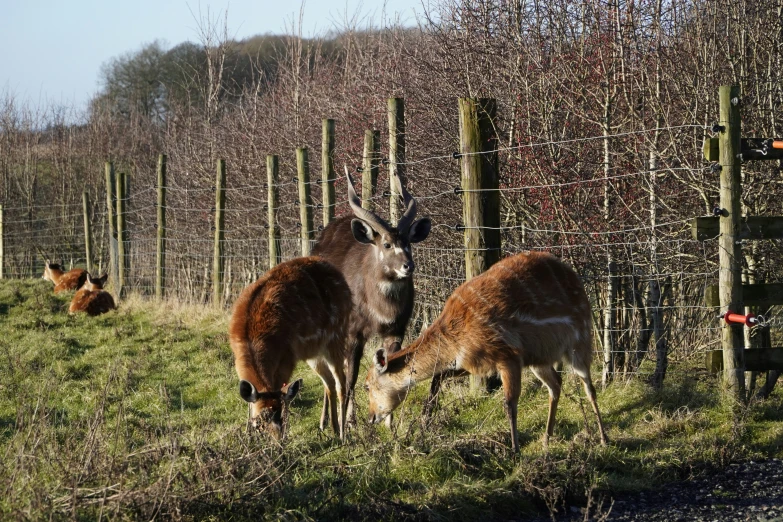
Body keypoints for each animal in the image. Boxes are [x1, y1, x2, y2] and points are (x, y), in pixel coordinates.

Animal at [230, 256, 352, 438]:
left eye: (280, 415)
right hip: (313, 353)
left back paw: (344, 433)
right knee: (329, 381)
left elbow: (286, 395)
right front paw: (248, 435)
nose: (277, 439)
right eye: (261, 419)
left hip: (336, 336)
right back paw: (332, 428)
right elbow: (250, 403)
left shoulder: (287, 358)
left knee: (341, 382)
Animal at [310, 165, 432, 424]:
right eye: (386, 244)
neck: (381, 310)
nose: (408, 266)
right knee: (332, 371)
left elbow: (390, 368)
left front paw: (389, 422)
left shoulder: (396, 330)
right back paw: (326, 420)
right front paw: (347, 422)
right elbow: (350, 378)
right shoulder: (354, 332)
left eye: (408, 242)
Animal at [364, 250, 608, 448]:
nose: (372, 417)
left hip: (579, 343)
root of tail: (576, 278)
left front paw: (514, 450)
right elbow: (438, 377)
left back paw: (604, 438)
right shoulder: (472, 363)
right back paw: (546, 438)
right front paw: (425, 421)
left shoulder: (509, 356)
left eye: (366, 386)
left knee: (589, 387)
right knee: (556, 384)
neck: (456, 334)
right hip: (539, 359)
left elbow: (509, 403)